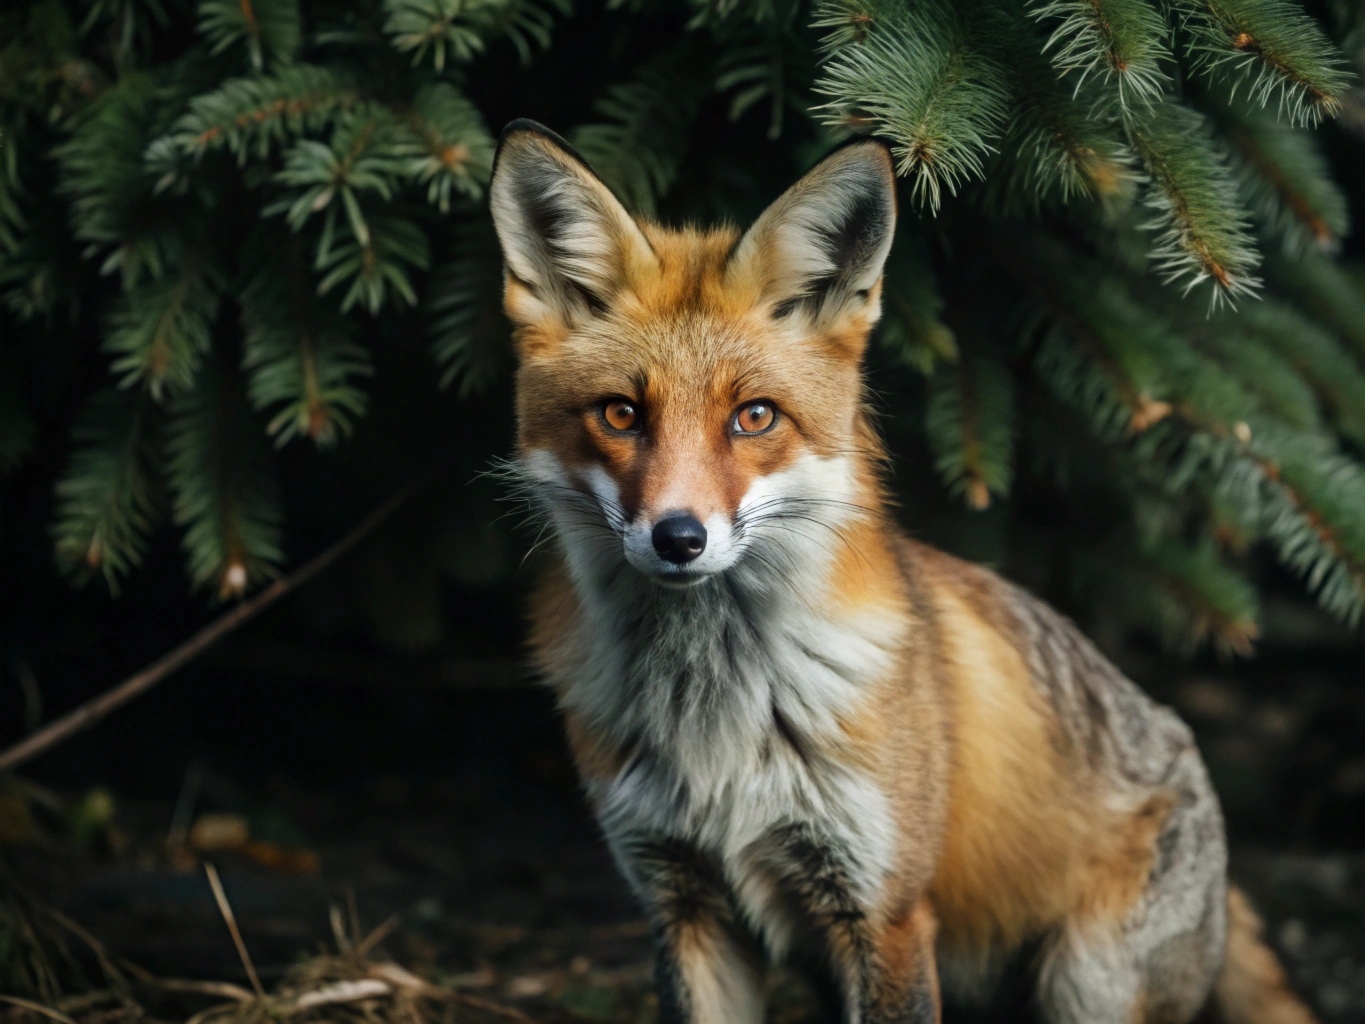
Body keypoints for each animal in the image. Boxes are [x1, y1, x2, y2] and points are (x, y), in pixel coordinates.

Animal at [487, 118, 1319, 1024]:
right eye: (619, 414)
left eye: (753, 418)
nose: (678, 537)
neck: (718, 717)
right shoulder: (682, 899)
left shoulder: (882, 911)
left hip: (1086, 982)